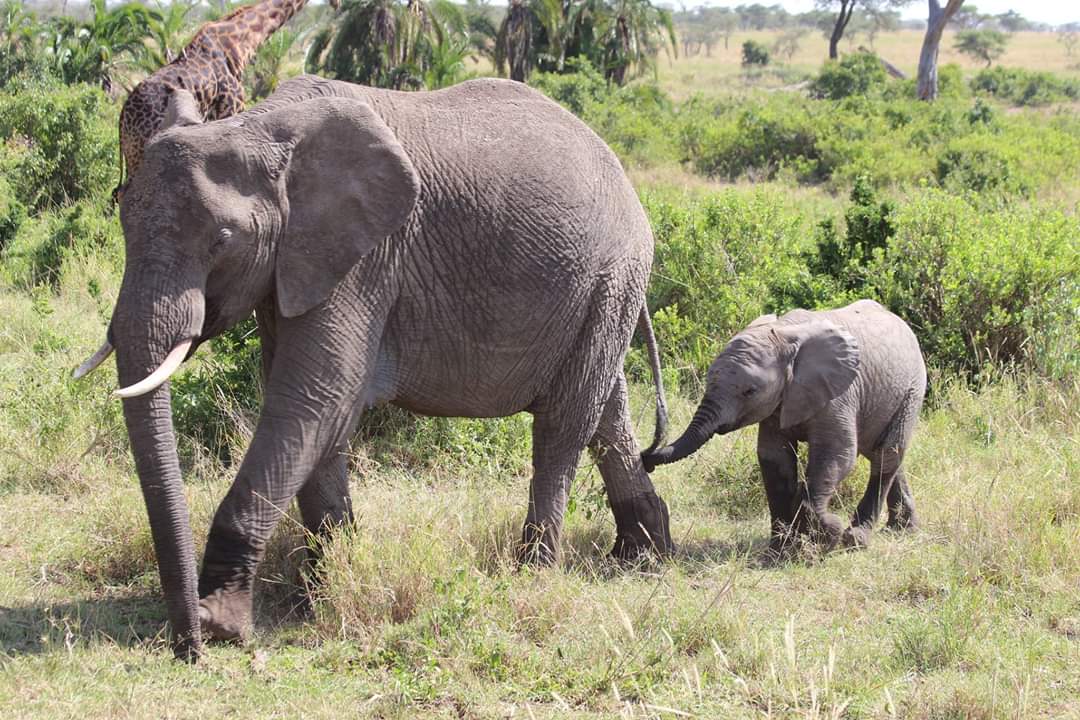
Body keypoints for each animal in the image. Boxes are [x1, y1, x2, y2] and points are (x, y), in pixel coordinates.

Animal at [74, 75, 673, 660]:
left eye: (223, 240)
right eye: (120, 215)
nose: (186, 649)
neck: (258, 126)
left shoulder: (368, 256)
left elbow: (312, 397)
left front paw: (223, 624)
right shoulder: (299, 263)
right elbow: (315, 410)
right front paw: (323, 588)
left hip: (612, 273)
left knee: (564, 424)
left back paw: (533, 573)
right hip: (600, 292)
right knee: (605, 411)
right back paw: (646, 555)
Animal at [642, 300, 925, 555]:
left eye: (749, 391)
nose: (646, 461)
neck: (783, 334)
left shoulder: (839, 396)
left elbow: (837, 455)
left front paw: (825, 537)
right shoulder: (777, 404)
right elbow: (774, 460)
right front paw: (780, 551)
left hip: (912, 389)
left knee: (887, 454)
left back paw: (857, 539)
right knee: (884, 454)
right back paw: (901, 529)